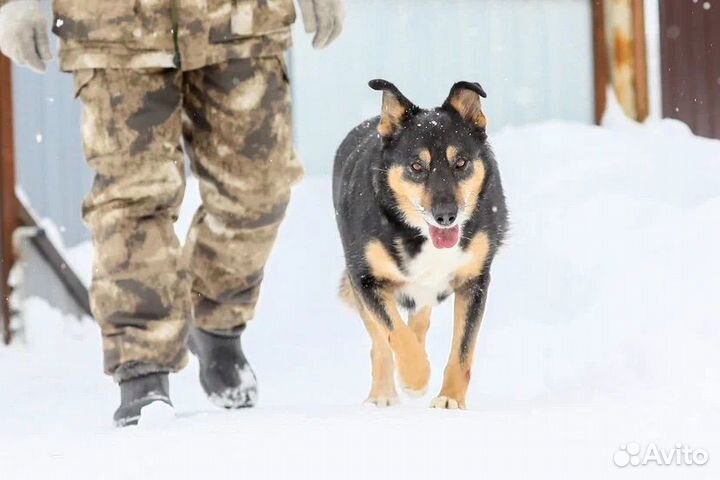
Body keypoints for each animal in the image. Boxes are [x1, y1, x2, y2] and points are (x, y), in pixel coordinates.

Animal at [334, 79, 510, 408]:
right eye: (416, 166)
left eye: (461, 162)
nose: (446, 216)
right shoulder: (365, 279)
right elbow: (394, 332)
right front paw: (415, 378)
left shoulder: (475, 280)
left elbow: (462, 350)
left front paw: (450, 399)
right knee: (381, 341)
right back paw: (383, 393)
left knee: (418, 320)